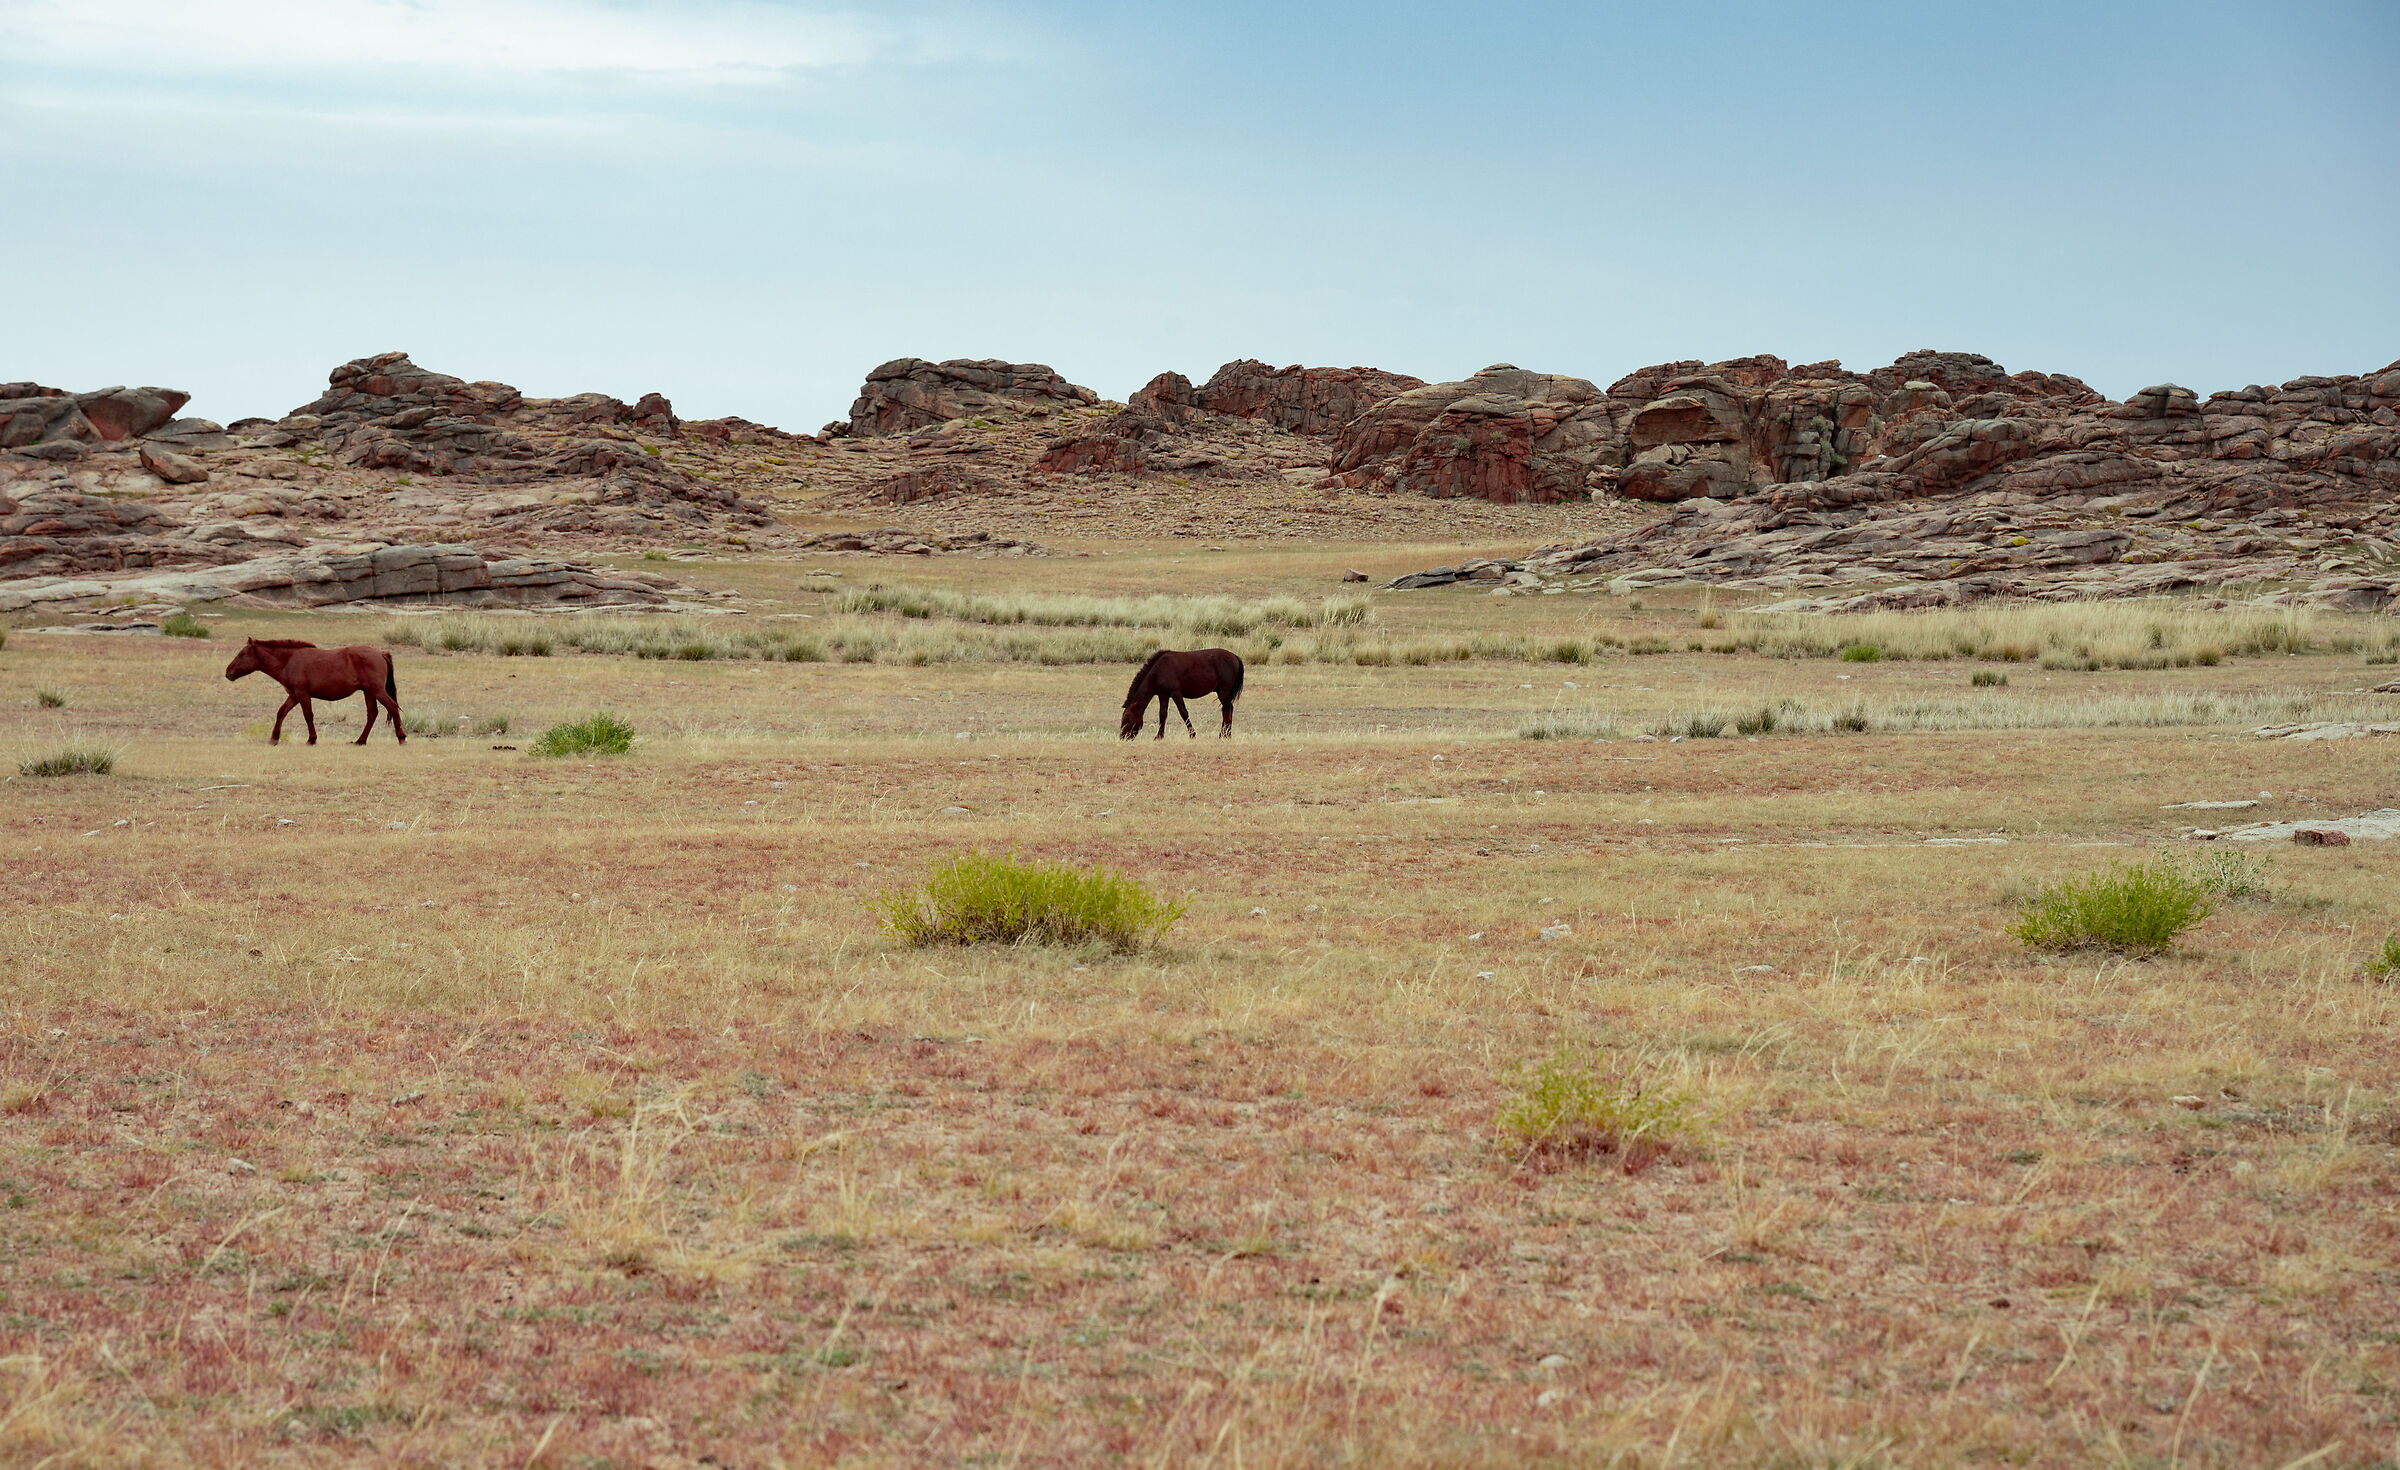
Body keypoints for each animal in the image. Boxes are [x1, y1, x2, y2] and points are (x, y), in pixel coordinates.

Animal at [224, 638, 406, 746]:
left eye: (241, 654)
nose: (228, 673)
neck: (289, 660)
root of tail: (381, 653)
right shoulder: (294, 695)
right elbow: (281, 712)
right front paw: (274, 738)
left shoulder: (302, 694)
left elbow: (308, 715)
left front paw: (312, 739)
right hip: (368, 692)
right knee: (372, 713)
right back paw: (360, 741)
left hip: (376, 690)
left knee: (392, 707)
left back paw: (401, 737)